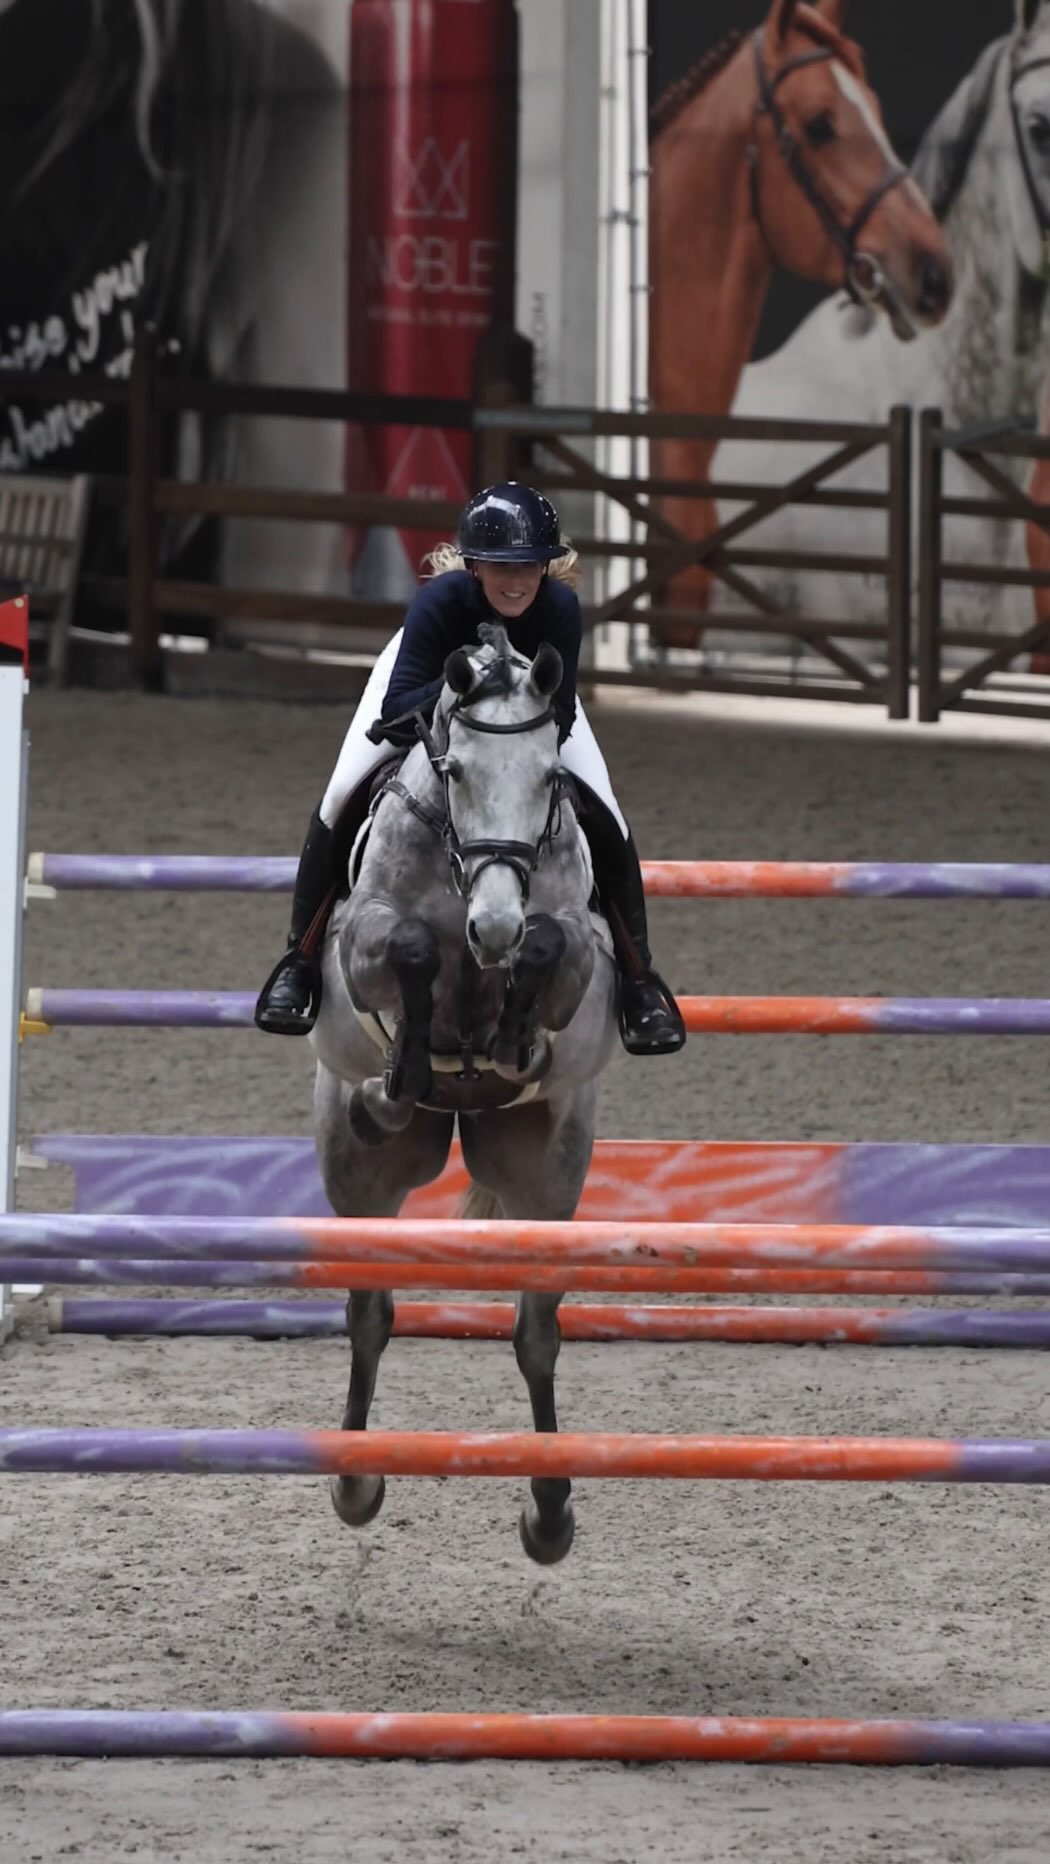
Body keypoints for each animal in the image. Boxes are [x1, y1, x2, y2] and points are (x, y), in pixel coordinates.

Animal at [309, 627, 618, 1565]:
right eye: (455, 774)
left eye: (550, 778)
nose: (493, 926)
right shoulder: (362, 938)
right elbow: (408, 946)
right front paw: (406, 1065)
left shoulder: (577, 945)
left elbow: (552, 946)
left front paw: (515, 1031)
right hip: (361, 1175)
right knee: (370, 1310)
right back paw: (356, 1483)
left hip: (548, 1173)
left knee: (536, 1331)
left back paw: (549, 1512)